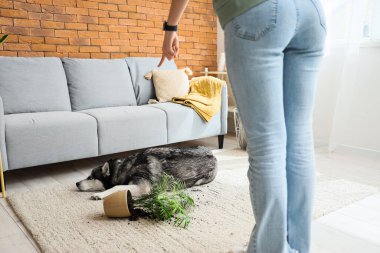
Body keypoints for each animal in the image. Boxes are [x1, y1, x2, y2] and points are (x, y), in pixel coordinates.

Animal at [77, 145, 217, 201]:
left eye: (91, 177)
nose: (76, 183)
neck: (124, 168)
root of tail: (214, 155)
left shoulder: (142, 187)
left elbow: (117, 187)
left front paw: (99, 195)